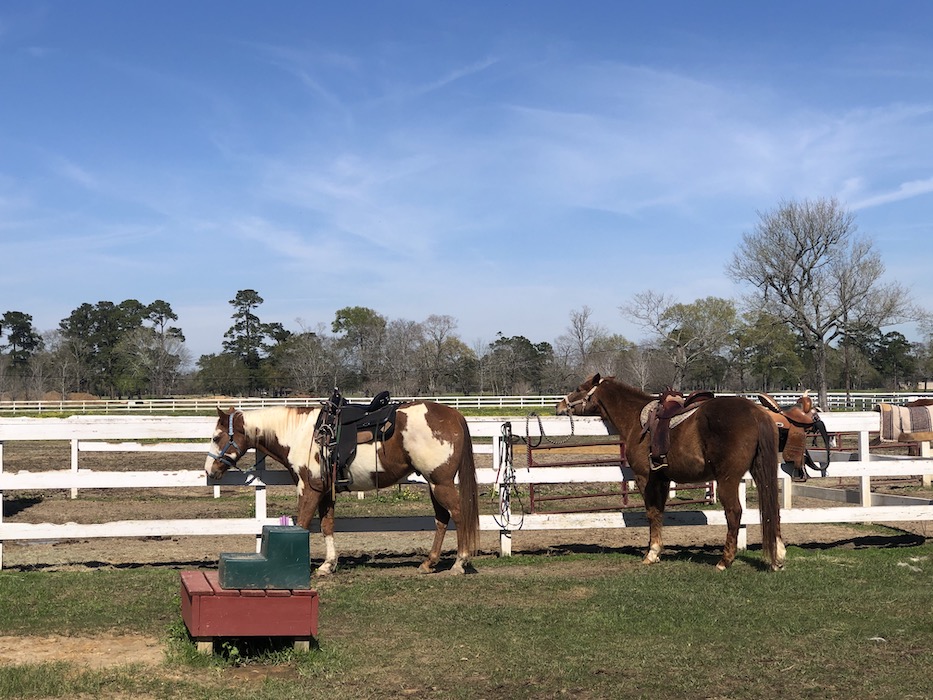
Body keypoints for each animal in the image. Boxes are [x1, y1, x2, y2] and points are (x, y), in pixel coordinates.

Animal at [205, 402, 480, 576]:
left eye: (217, 437)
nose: (209, 471)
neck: (301, 434)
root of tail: (453, 414)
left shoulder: (310, 489)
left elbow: (303, 524)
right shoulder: (325, 491)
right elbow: (327, 526)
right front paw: (328, 566)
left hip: (441, 483)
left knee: (458, 515)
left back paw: (459, 563)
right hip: (434, 484)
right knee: (441, 519)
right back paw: (428, 563)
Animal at [556, 374, 784, 572]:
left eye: (579, 388)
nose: (559, 406)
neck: (635, 418)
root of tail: (756, 412)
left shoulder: (645, 478)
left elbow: (652, 512)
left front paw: (652, 553)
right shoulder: (663, 480)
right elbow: (660, 512)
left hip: (727, 479)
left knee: (734, 513)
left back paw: (724, 561)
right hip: (759, 472)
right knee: (772, 509)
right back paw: (778, 557)